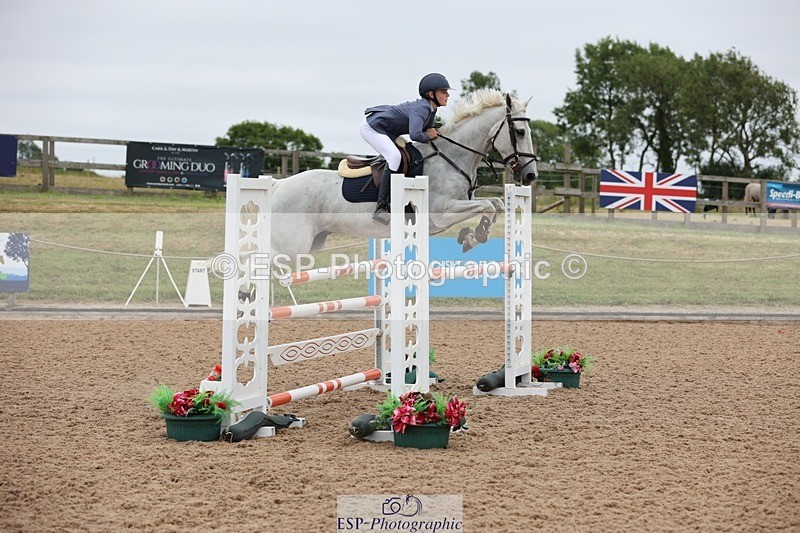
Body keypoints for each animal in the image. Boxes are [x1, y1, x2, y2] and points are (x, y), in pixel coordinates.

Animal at [266, 90, 538, 259]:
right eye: (520, 132)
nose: (530, 176)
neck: (452, 156)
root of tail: (278, 186)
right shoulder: (441, 213)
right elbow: (489, 206)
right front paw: (474, 236)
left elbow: (497, 203)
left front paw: (473, 236)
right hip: (291, 245)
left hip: (313, 241)